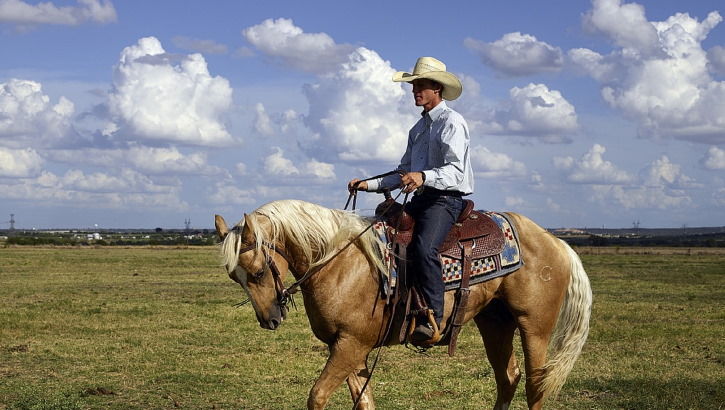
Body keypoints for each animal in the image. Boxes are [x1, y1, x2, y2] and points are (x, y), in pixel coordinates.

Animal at [214, 198, 588, 406]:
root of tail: (556, 241)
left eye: (258, 272)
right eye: (235, 277)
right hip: (495, 323)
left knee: (536, 386)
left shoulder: (350, 345)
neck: (340, 262)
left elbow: (317, 396)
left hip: (534, 327)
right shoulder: (349, 348)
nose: (269, 319)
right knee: (507, 379)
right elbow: (363, 402)